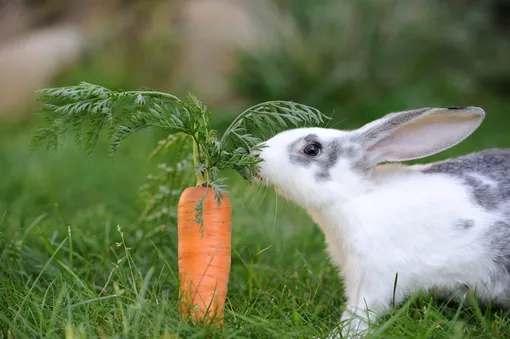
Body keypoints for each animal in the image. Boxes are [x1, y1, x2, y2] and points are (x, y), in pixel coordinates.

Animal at [249, 107, 510, 338]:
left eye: (312, 149)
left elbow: (361, 311)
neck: (355, 196)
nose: (254, 154)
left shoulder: (375, 276)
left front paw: (339, 334)